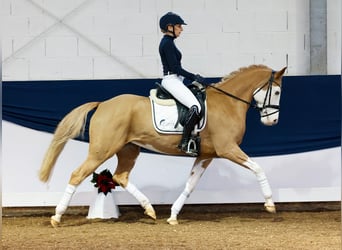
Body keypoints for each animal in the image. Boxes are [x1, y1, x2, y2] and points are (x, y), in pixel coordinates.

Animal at [39, 64, 286, 227]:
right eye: (276, 91)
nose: (272, 121)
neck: (228, 103)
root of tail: (103, 104)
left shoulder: (205, 156)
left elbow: (190, 186)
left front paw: (173, 216)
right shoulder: (228, 149)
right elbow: (258, 168)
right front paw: (270, 204)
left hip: (129, 150)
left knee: (120, 177)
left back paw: (149, 209)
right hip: (102, 150)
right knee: (77, 174)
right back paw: (57, 217)